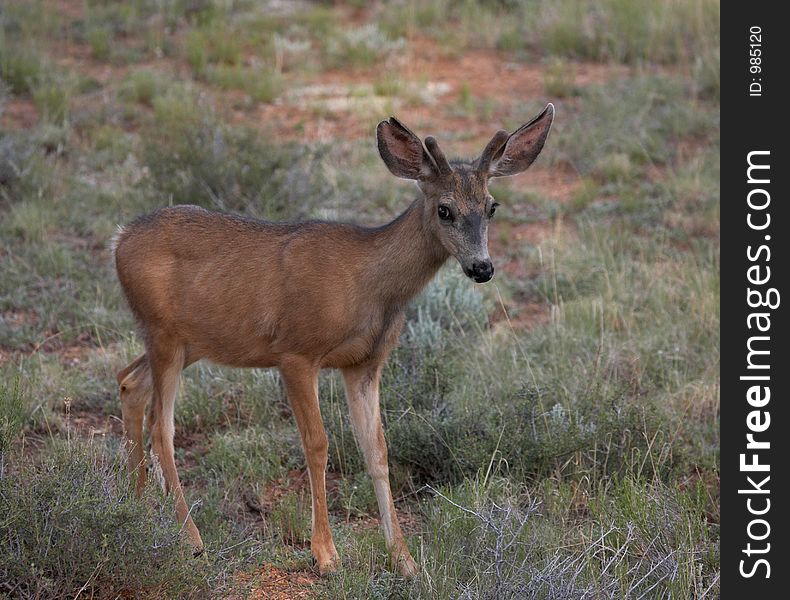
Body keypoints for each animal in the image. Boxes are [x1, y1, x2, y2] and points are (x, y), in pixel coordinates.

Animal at [114, 103, 552, 576]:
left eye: (491, 206)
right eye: (445, 210)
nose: (481, 268)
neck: (371, 286)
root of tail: (118, 240)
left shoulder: (364, 364)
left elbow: (377, 450)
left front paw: (404, 559)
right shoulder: (296, 352)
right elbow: (318, 443)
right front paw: (325, 554)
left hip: (187, 341)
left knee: (129, 382)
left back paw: (137, 509)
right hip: (164, 333)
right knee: (162, 426)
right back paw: (190, 539)